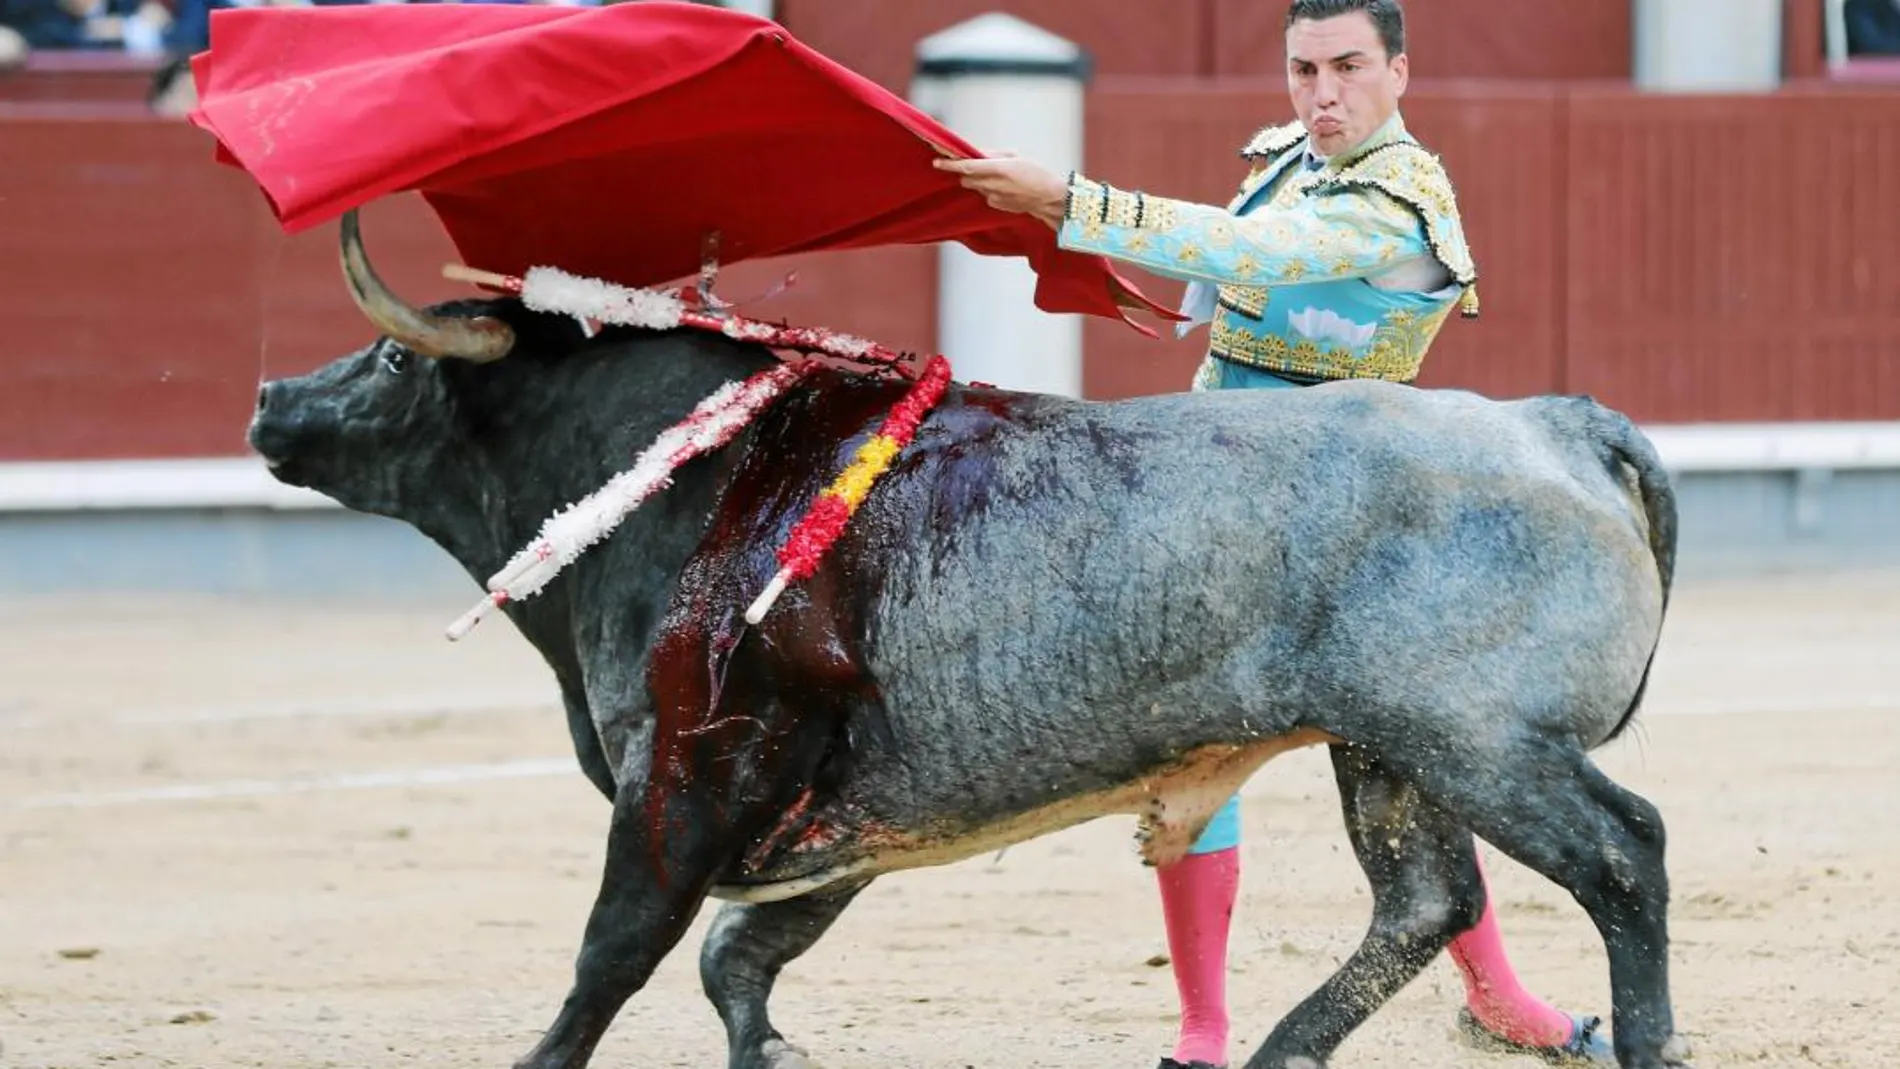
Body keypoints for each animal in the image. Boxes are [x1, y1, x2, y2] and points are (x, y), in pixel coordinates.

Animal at [248, 211, 1694, 1069]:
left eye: (391, 365)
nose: (268, 398)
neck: (691, 475)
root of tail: (1554, 420)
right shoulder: (841, 817)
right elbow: (733, 957)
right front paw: (775, 1053)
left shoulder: (690, 779)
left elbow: (616, 954)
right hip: (1390, 748)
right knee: (1427, 896)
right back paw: (1280, 1052)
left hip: (1482, 742)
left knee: (1621, 856)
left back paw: (1645, 1043)